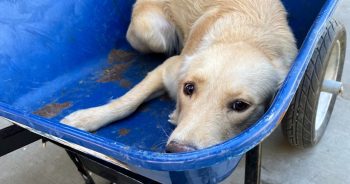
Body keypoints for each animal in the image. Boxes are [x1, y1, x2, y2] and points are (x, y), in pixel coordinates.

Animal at [61, 0, 296, 152]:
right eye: (189, 88)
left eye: (240, 105)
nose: (177, 151)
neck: (247, 37)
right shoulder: (168, 68)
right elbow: (128, 101)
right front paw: (87, 118)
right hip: (151, 33)